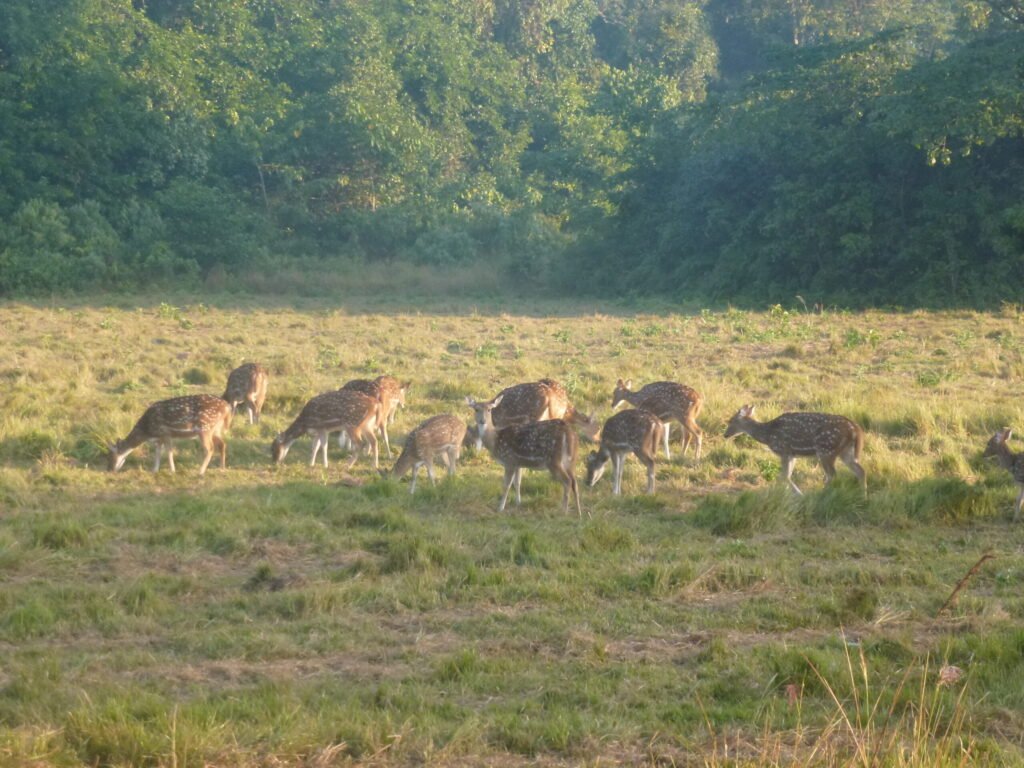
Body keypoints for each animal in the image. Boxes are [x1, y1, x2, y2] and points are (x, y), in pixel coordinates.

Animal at [723, 404, 866, 495]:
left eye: (731, 421)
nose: (725, 435)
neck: (768, 435)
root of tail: (856, 429)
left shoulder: (784, 450)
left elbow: (784, 476)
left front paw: (798, 494)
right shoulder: (793, 454)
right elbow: (786, 476)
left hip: (826, 449)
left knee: (832, 475)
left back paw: (821, 493)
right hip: (846, 452)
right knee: (860, 471)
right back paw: (863, 496)